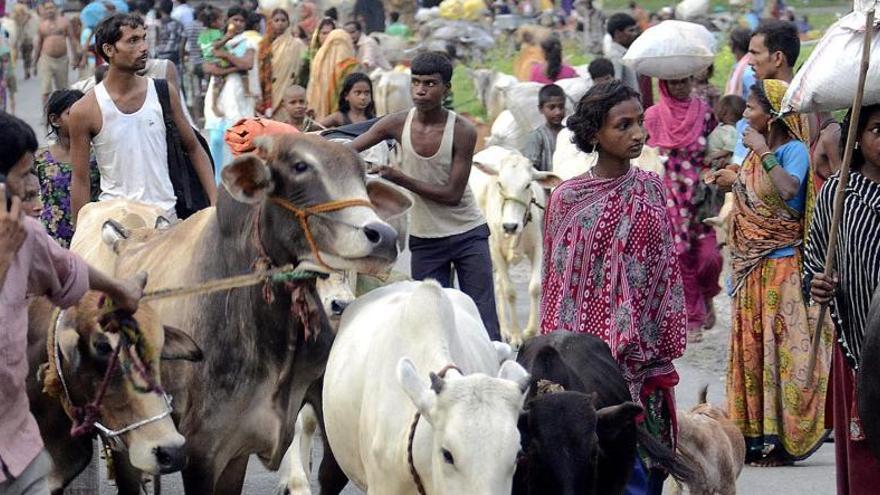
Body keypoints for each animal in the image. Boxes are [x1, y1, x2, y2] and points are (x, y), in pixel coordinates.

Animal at [470, 148, 560, 348]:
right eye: (500, 184)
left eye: (527, 185)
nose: (510, 226)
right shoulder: (495, 250)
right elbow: (509, 292)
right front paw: (517, 335)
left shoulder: (537, 247)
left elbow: (535, 287)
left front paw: (530, 331)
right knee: (500, 286)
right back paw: (505, 331)